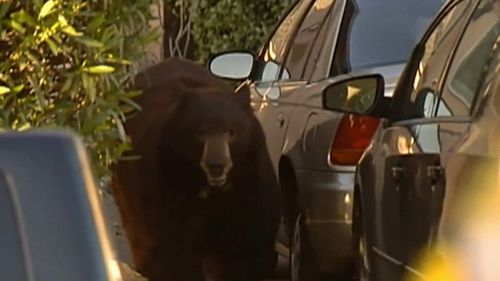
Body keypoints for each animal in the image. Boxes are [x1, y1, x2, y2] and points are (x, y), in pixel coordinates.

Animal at [112, 57, 282, 280]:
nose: (216, 166)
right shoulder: (167, 183)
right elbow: (173, 251)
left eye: (231, 132)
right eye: (200, 133)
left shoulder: (250, 189)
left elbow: (245, 251)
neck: (213, 191)